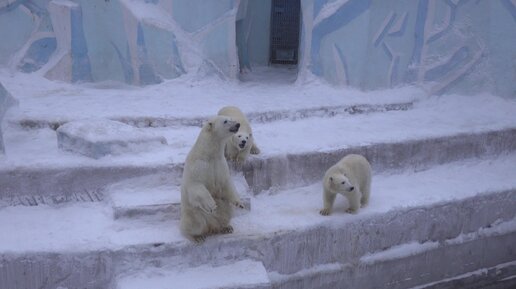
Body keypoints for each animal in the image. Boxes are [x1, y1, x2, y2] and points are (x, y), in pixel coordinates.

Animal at [180, 113, 245, 242]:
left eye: (231, 118)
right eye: (225, 121)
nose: (237, 124)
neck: (209, 154)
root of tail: (211, 226)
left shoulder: (220, 164)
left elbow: (227, 183)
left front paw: (240, 203)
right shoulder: (198, 166)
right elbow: (197, 185)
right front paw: (212, 205)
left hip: (224, 209)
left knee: (226, 215)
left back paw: (226, 227)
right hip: (194, 213)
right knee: (194, 223)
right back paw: (197, 236)